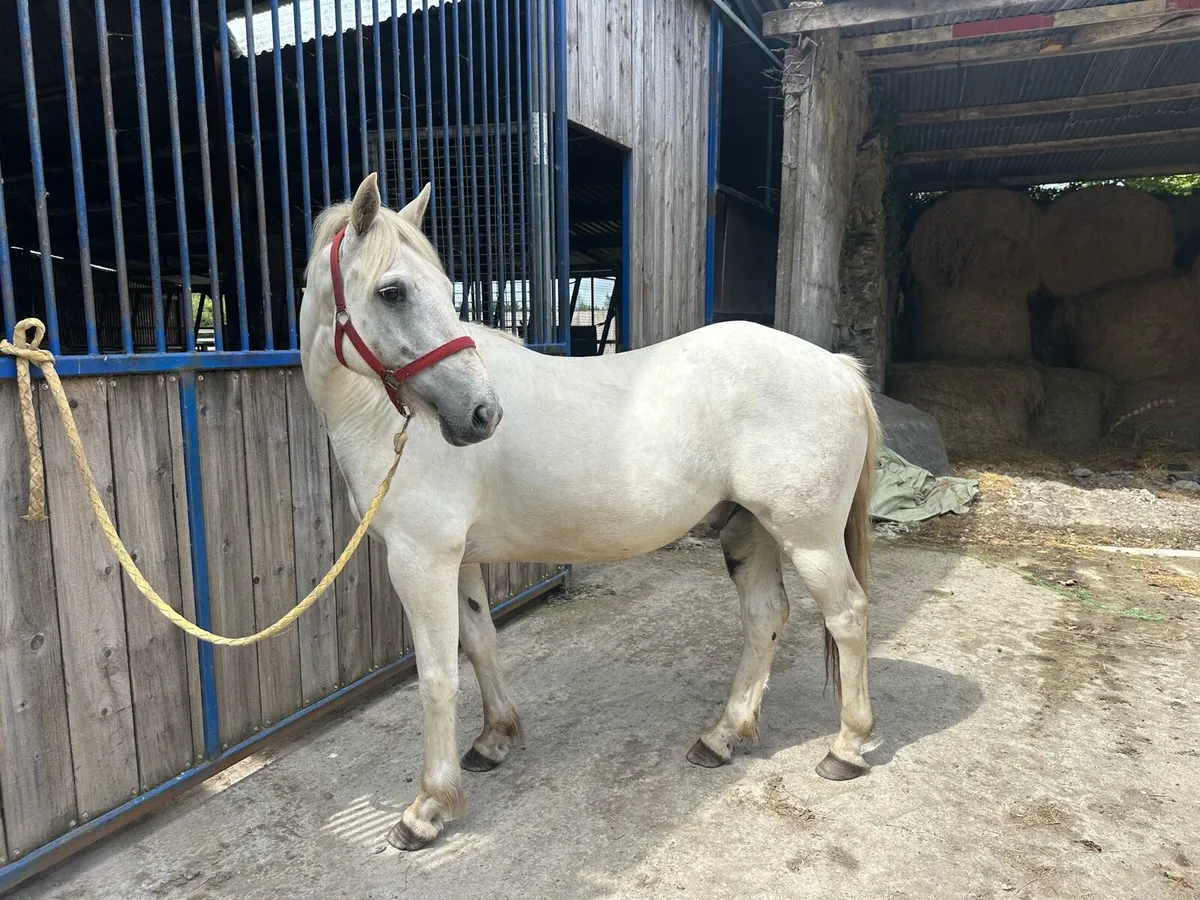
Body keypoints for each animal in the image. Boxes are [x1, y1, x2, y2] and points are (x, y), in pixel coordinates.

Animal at [300, 173, 881, 851]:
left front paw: (429, 807)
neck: (389, 420)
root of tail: (836, 367)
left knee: (847, 616)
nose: (481, 415)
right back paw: (722, 738)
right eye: (392, 292)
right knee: (765, 617)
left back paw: (846, 748)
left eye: (441, 289)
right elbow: (481, 644)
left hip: (809, 538)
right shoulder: (458, 560)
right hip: (751, 529)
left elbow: (438, 675)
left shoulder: (422, 560)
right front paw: (495, 740)